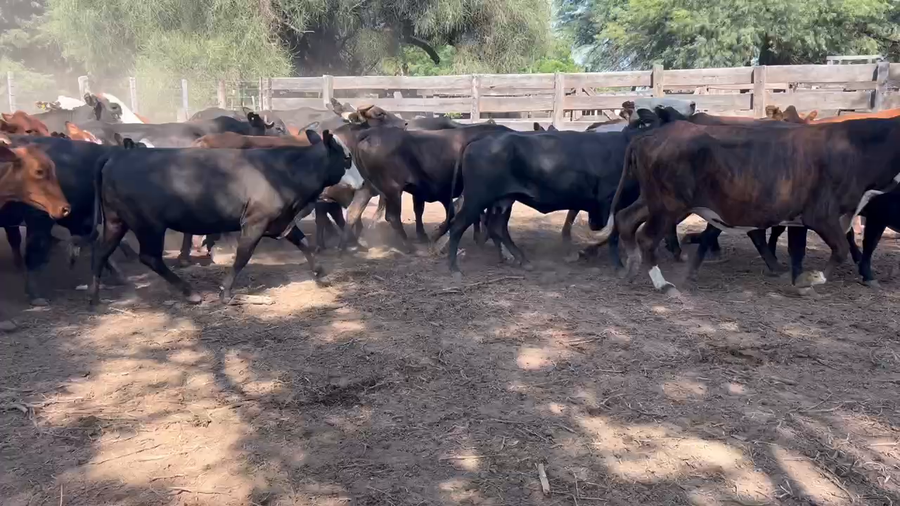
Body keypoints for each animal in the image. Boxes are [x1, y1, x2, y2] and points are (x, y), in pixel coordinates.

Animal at [88, 130, 353, 305]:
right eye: (347, 158)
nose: (355, 183)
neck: (287, 170)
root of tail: (116, 157)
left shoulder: (280, 221)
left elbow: (304, 242)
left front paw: (321, 274)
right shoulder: (255, 222)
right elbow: (243, 256)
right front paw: (225, 291)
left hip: (116, 220)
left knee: (101, 252)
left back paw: (94, 296)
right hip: (149, 225)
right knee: (150, 257)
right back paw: (190, 292)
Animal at [589, 114, 900, 296]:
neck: (856, 147)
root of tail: (649, 135)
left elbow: (807, 249)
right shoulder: (822, 214)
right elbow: (841, 249)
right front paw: (809, 279)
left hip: (653, 199)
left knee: (626, 219)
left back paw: (630, 268)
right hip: (669, 204)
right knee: (646, 236)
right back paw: (662, 284)